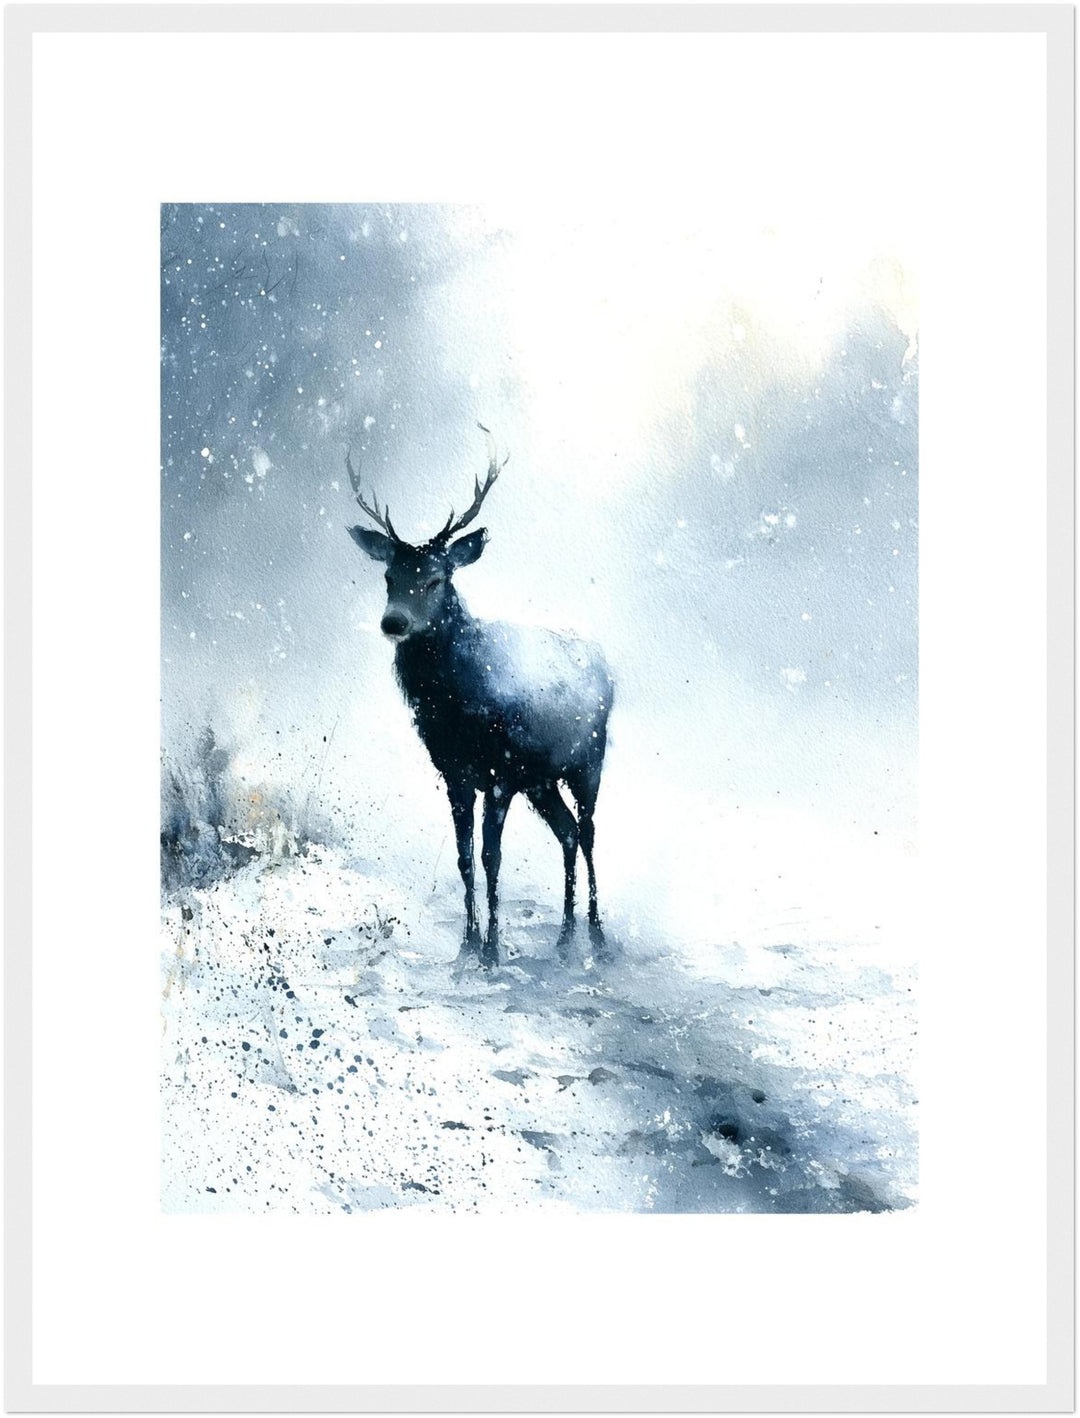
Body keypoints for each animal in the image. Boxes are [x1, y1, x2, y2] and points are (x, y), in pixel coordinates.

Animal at [346, 425, 613, 968]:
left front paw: (491, 950)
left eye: (436, 577)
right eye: (388, 576)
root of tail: (609, 668)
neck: (456, 708)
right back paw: (564, 936)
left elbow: (492, 856)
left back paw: (596, 934)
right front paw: (465, 946)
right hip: (542, 780)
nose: (393, 622)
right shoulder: (455, 772)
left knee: (590, 832)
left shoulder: (501, 772)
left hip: (589, 760)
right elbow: (465, 857)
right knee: (568, 832)